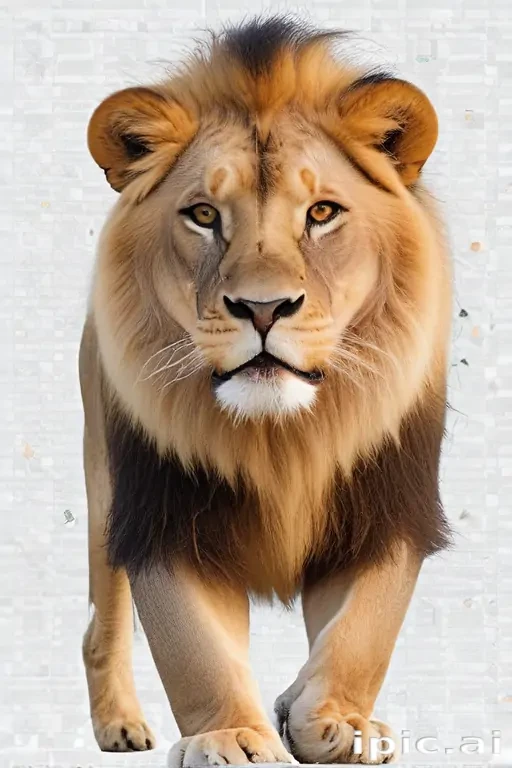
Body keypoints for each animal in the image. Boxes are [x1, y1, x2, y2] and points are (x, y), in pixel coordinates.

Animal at [80, 16, 452, 766]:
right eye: (202, 215)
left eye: (322, 212)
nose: (262, 308)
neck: (283, 438)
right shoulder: (162, 515)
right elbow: (194, 649)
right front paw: (230, 735)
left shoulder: (390, 507)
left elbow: (364, 632)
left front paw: (335, 720)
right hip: (103, 493)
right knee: (103, 625)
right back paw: (120, 725)